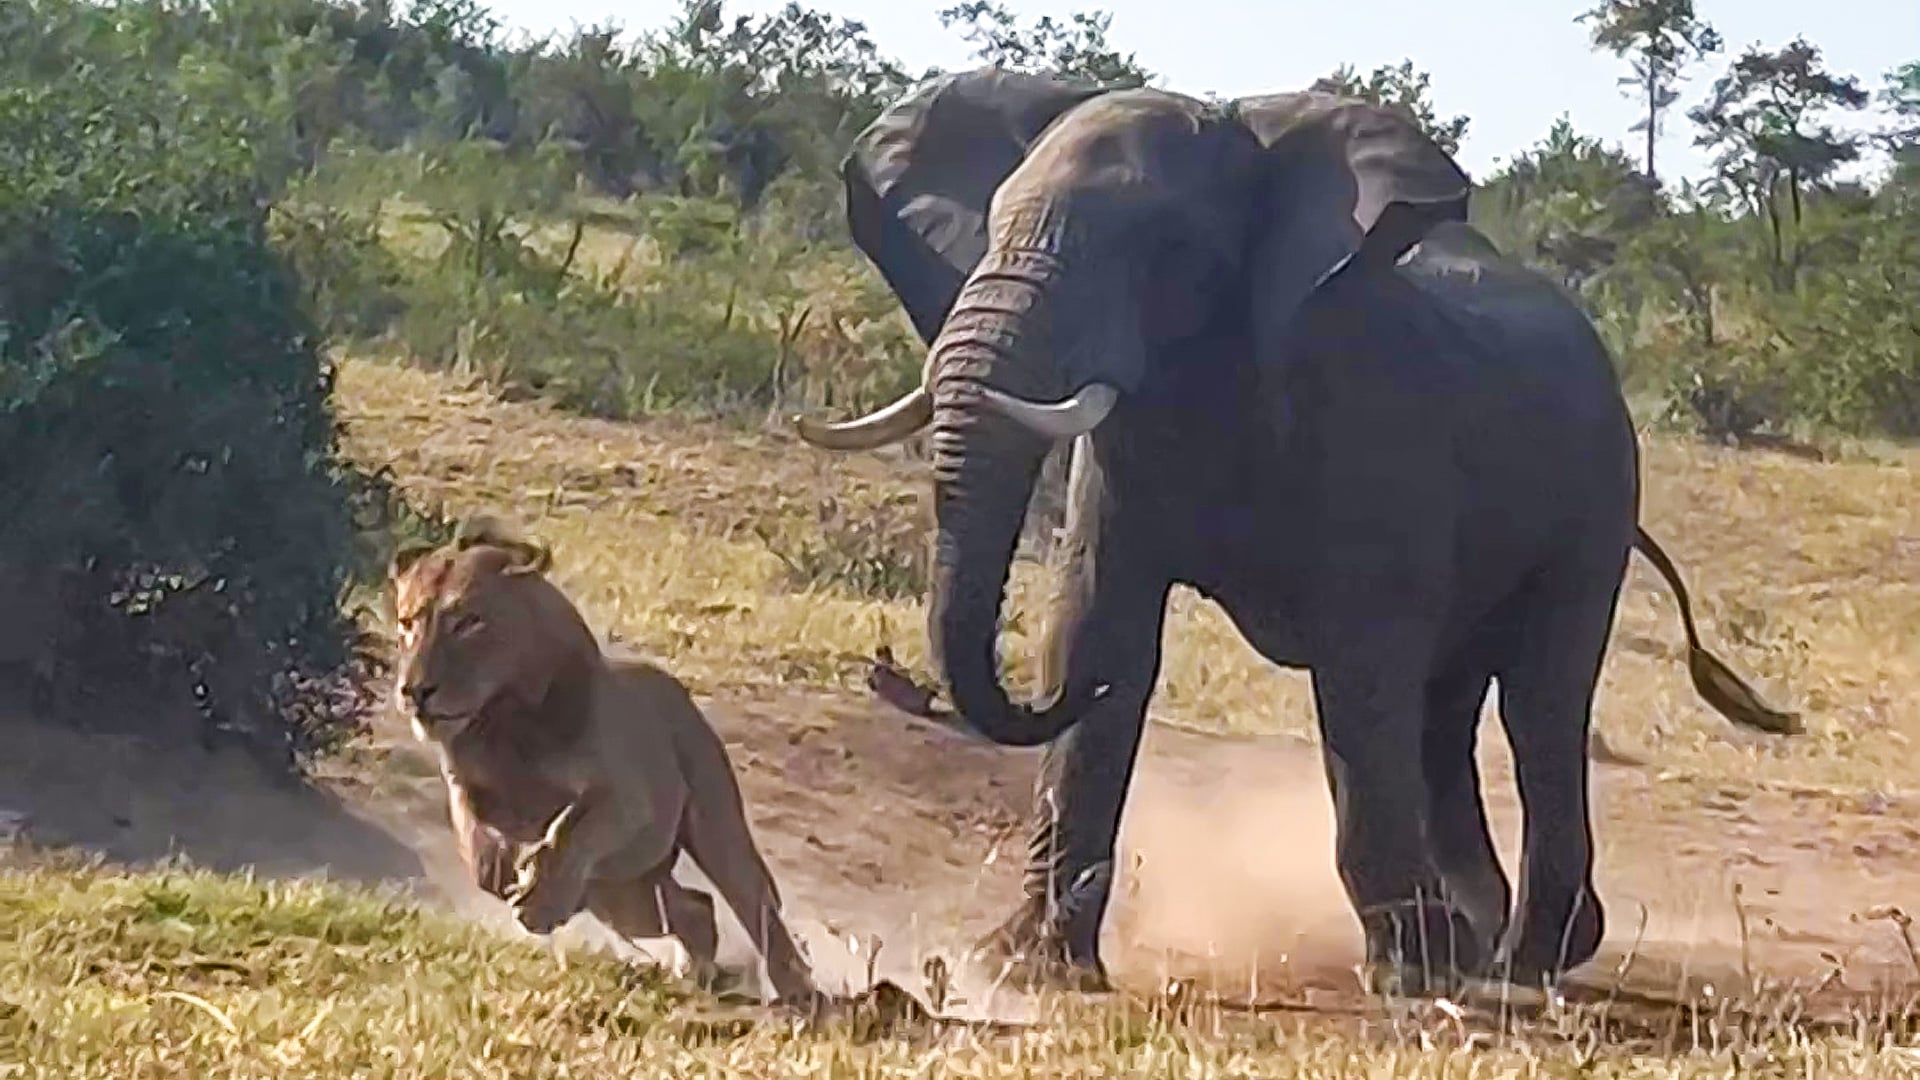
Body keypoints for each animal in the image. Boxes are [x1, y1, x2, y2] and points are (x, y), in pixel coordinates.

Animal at [386, 516, 818, 1005]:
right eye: (407, 623)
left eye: (467, 622)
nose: (415, 691)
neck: (503, 721)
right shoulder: (465, 785)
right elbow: (478, 848)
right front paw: (513, 878)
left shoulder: (628, 800)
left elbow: (571, 831)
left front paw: (537, 897)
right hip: (624, 893)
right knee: (694, 906)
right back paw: (696, 971)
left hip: (714, 830)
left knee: (756, 907)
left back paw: (799, 991)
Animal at [791, 68, 1802, 996]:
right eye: (995, 222)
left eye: (1166, 247)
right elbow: (1102, 625)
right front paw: (1031, 968)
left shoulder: (1372, 412)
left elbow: (1359, 676)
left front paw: (1412, 973)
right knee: (1445, 715)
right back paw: (1488, 944)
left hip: (1595, 503)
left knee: (1536, 706)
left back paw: (1525, 961)